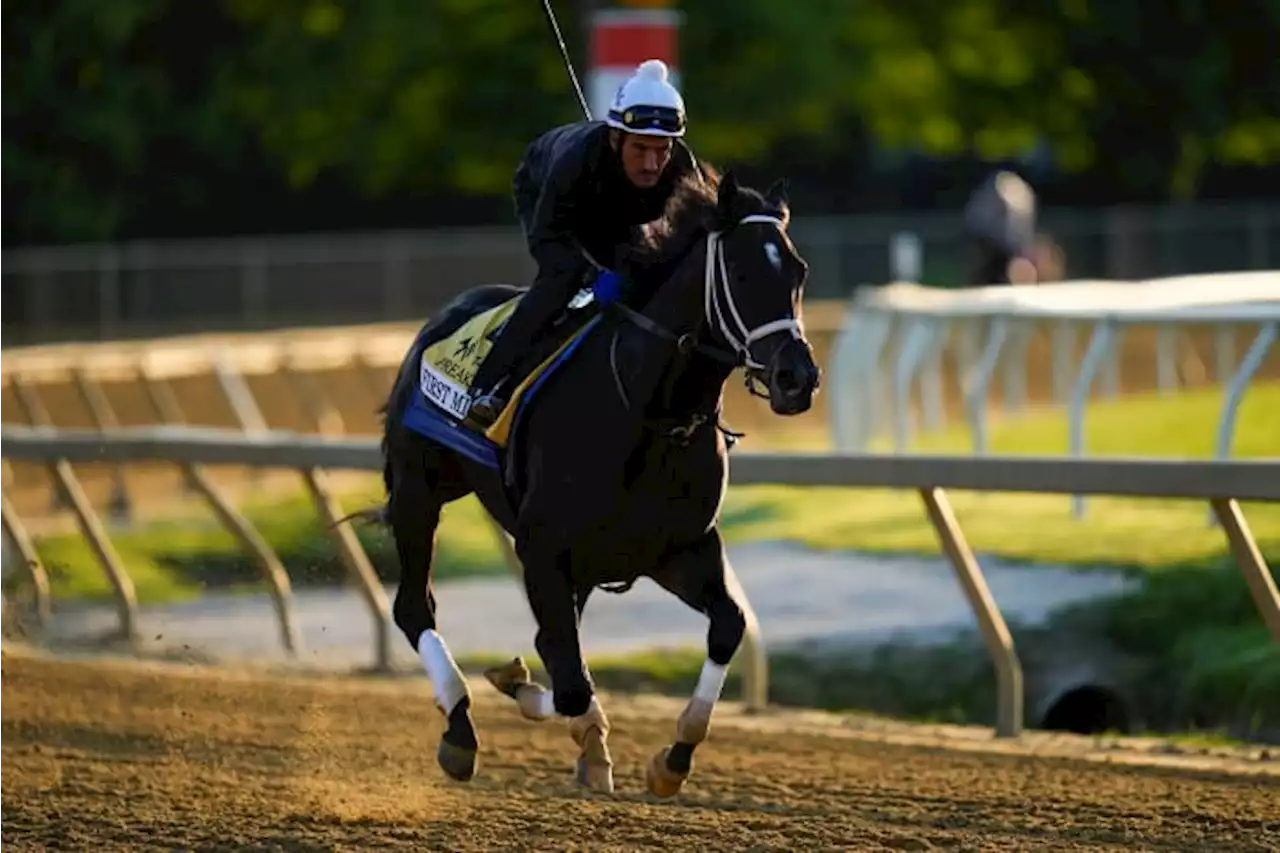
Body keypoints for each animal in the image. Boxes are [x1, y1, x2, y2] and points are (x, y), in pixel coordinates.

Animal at [373, 166, 824, 799]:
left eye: (797, 272)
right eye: (739, 272)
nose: (797, 378)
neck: (649, 411)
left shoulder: (677, 548)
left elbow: (726, 627)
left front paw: (671, 758)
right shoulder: (542, 549)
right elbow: (569, 681)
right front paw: (580, 733)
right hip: (419, 489)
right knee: (415, 607)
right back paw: (461, 731)